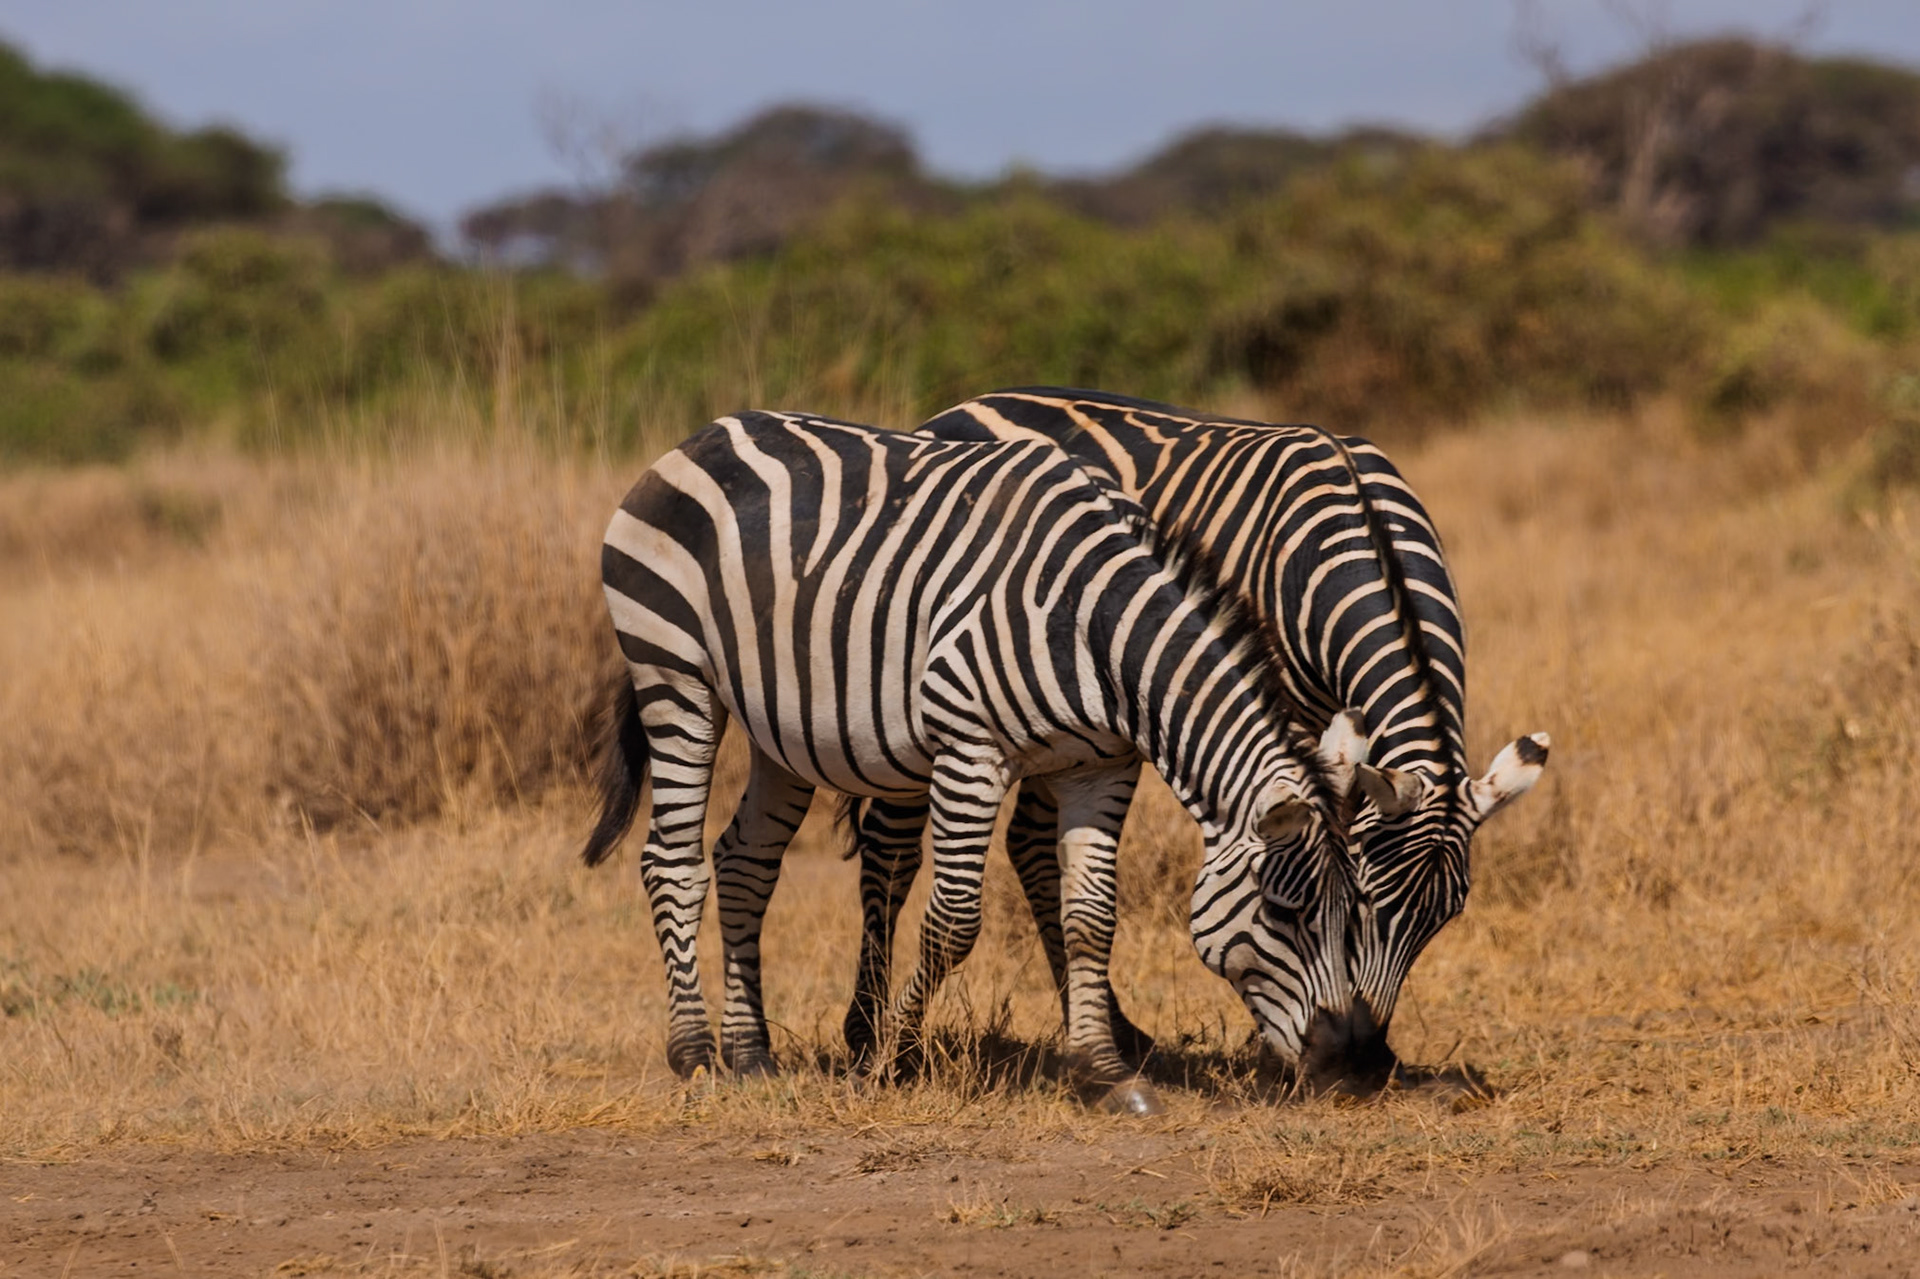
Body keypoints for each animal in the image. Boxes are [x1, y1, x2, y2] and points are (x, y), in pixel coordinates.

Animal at [580, 410, 1377, 1113]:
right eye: (1284, 911)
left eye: (1356, 914)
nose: (1342, 1063)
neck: (1093, 625)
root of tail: (703, 435)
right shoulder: (970, 751)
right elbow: (955, 920)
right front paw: (891, 1059)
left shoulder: (1103, 766)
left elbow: (1091, 916)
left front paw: (1104, 1073)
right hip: (675, 673)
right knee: (672, 860)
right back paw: (695, 1055)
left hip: (782, 726)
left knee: (746, 863)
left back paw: (750, 1056)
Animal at [846, 388, 1549, 1091]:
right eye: (1365, 904)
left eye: (1444, 918)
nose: (1371, 1058)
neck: (1358, 536)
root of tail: (967, 404)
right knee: (891, 847)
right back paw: (863, 1033)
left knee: (1027, 844)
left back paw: (1110, 1030)